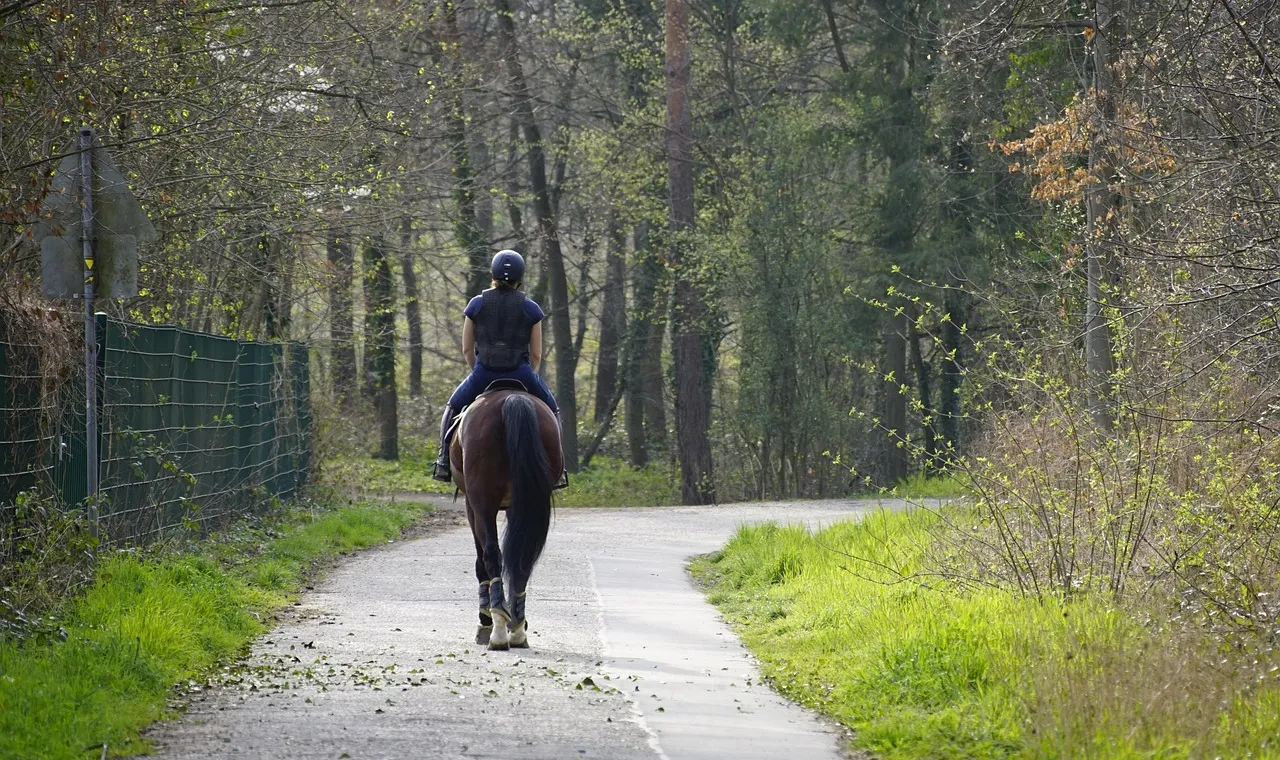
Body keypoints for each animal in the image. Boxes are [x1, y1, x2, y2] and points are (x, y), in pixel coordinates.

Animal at [448, 384, 561, 650]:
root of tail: (513, 399)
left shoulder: (472, 507)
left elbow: (481, 562)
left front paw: (484, 621)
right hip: (527, 501)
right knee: (523, 559)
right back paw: (517, 627)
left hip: (482, 502)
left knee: (491, 555)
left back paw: (498, 627)